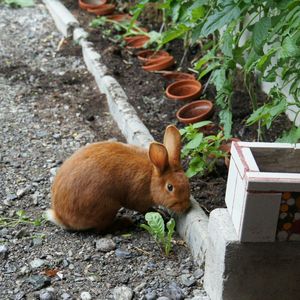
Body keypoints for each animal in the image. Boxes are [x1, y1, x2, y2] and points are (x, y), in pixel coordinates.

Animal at [46, 124, 190, 232]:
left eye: (187, 182)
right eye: (170, 187)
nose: (185, 207)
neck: (151, 178)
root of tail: (62, 218)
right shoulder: (138, 198)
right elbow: (145, 209)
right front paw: (161, 215)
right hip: (107, 206)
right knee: (101, 229)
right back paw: (124, 223)